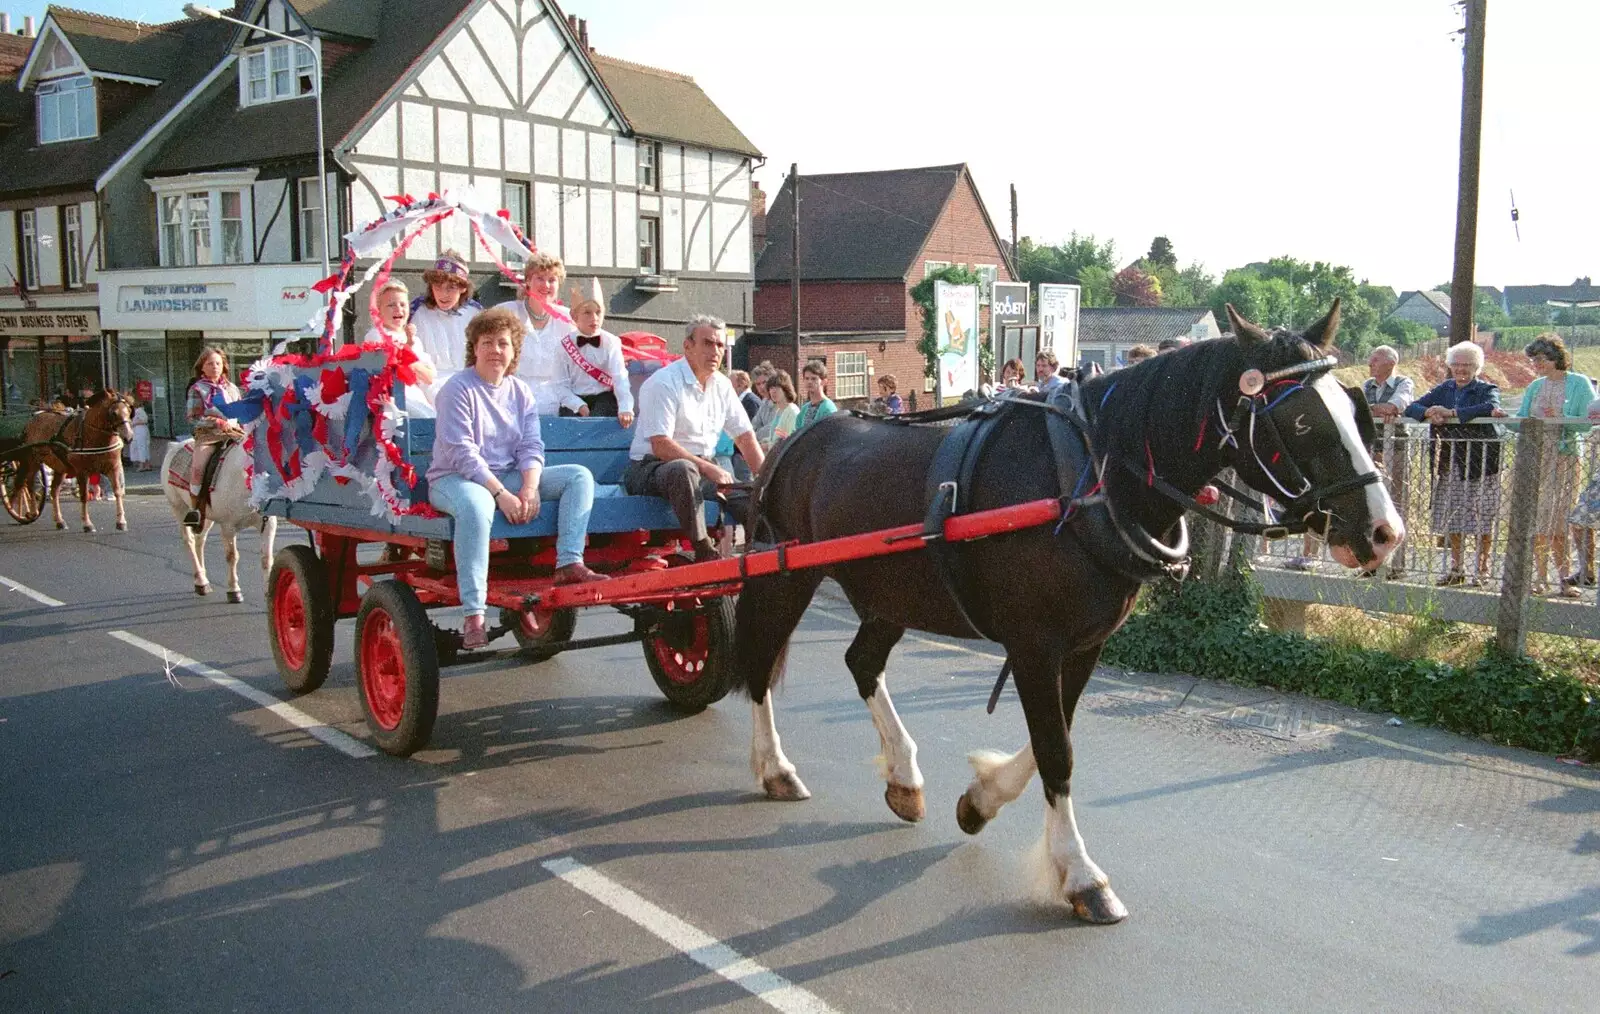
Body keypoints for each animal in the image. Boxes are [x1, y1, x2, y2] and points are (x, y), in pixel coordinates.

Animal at [18, 387, 136, 527]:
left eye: (129, 410)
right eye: (114, 413)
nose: (129, 437)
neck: (93, 434)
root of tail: (31, 421)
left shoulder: (113, 467)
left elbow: (118, 491)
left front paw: (121, 521)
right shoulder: (82, 471)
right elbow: (84, 495)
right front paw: (87, 524)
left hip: (60, 467)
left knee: (54, 490)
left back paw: (59, 520)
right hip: (34, 460)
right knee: (29, 484)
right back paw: (32, 512)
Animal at [157, 435, 276, 601]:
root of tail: (174, 446)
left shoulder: (268, 524)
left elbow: (266, 558)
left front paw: (269, 593)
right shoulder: (228, 526)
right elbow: (232, 556)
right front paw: (234, 590)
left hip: (206, 517)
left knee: (200, 541)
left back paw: (203, 582)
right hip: (178, 508)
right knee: (189, 541)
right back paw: (201, 581)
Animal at [732, 297, 1401, 914]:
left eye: (1353, 410)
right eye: (1303, 421)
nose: (1385, 533)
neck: (1090, 480)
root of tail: (796, 440)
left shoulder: (1083, 645)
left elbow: (1053, 739)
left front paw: (980, 801)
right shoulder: (1034, 646)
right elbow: (1057, 751)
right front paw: (1080, 874)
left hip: (892, 594)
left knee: (862, 663)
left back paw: (903, 777)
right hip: (787, 577)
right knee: (759, 664)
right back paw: (776, 768)